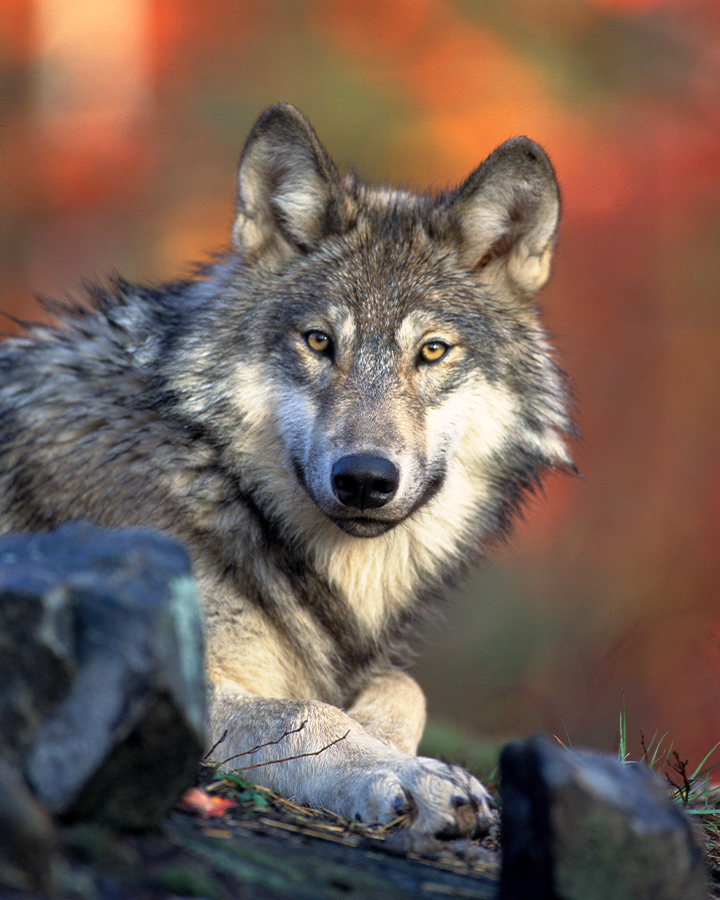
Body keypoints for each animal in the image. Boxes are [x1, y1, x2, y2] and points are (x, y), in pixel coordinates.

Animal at [0, 104, 572, 837]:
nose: (364, 478)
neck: (216, 479)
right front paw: (409, 775)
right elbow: (306, 712)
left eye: (432, 351)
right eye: (319, 342)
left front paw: (393, 748)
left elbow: (403, 686)